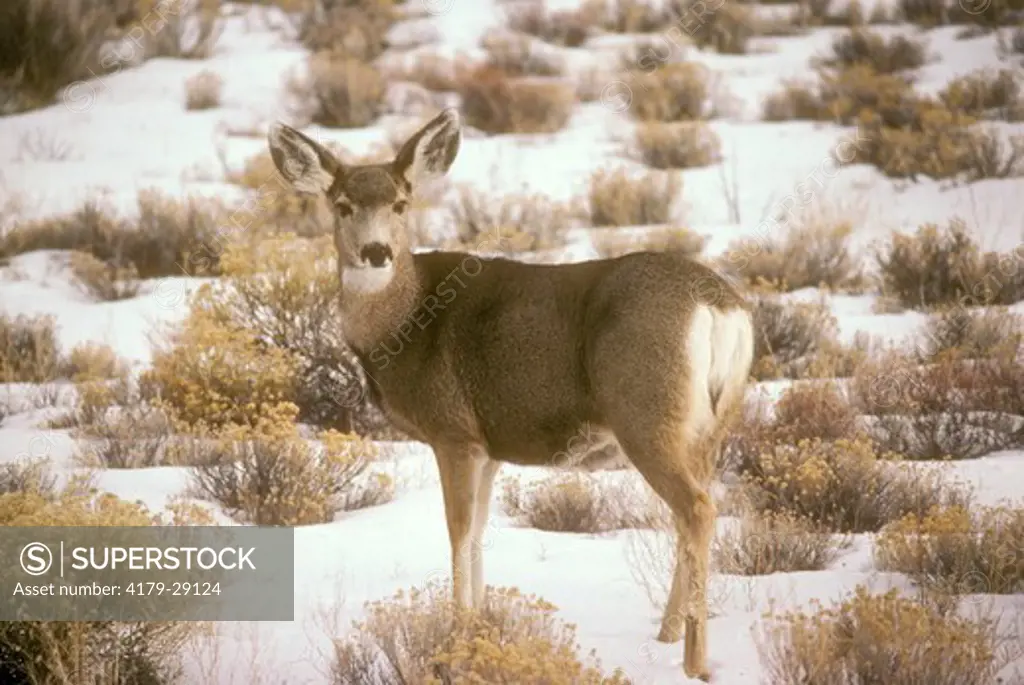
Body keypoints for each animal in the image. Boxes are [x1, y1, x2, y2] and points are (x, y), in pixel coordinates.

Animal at [268, 108, 757, 679]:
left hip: (645, 412)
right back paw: (666, 633)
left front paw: (456, 638)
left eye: (401, 202)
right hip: (711, 427)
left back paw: (693, 661)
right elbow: (480, 531)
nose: (375, 251)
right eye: (342, 205)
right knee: (694, 509)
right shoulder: (490, 445)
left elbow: (458, 531)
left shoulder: (453, 432)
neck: (405, 322)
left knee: (696, 509)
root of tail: (720, 306)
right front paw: (480, 626)